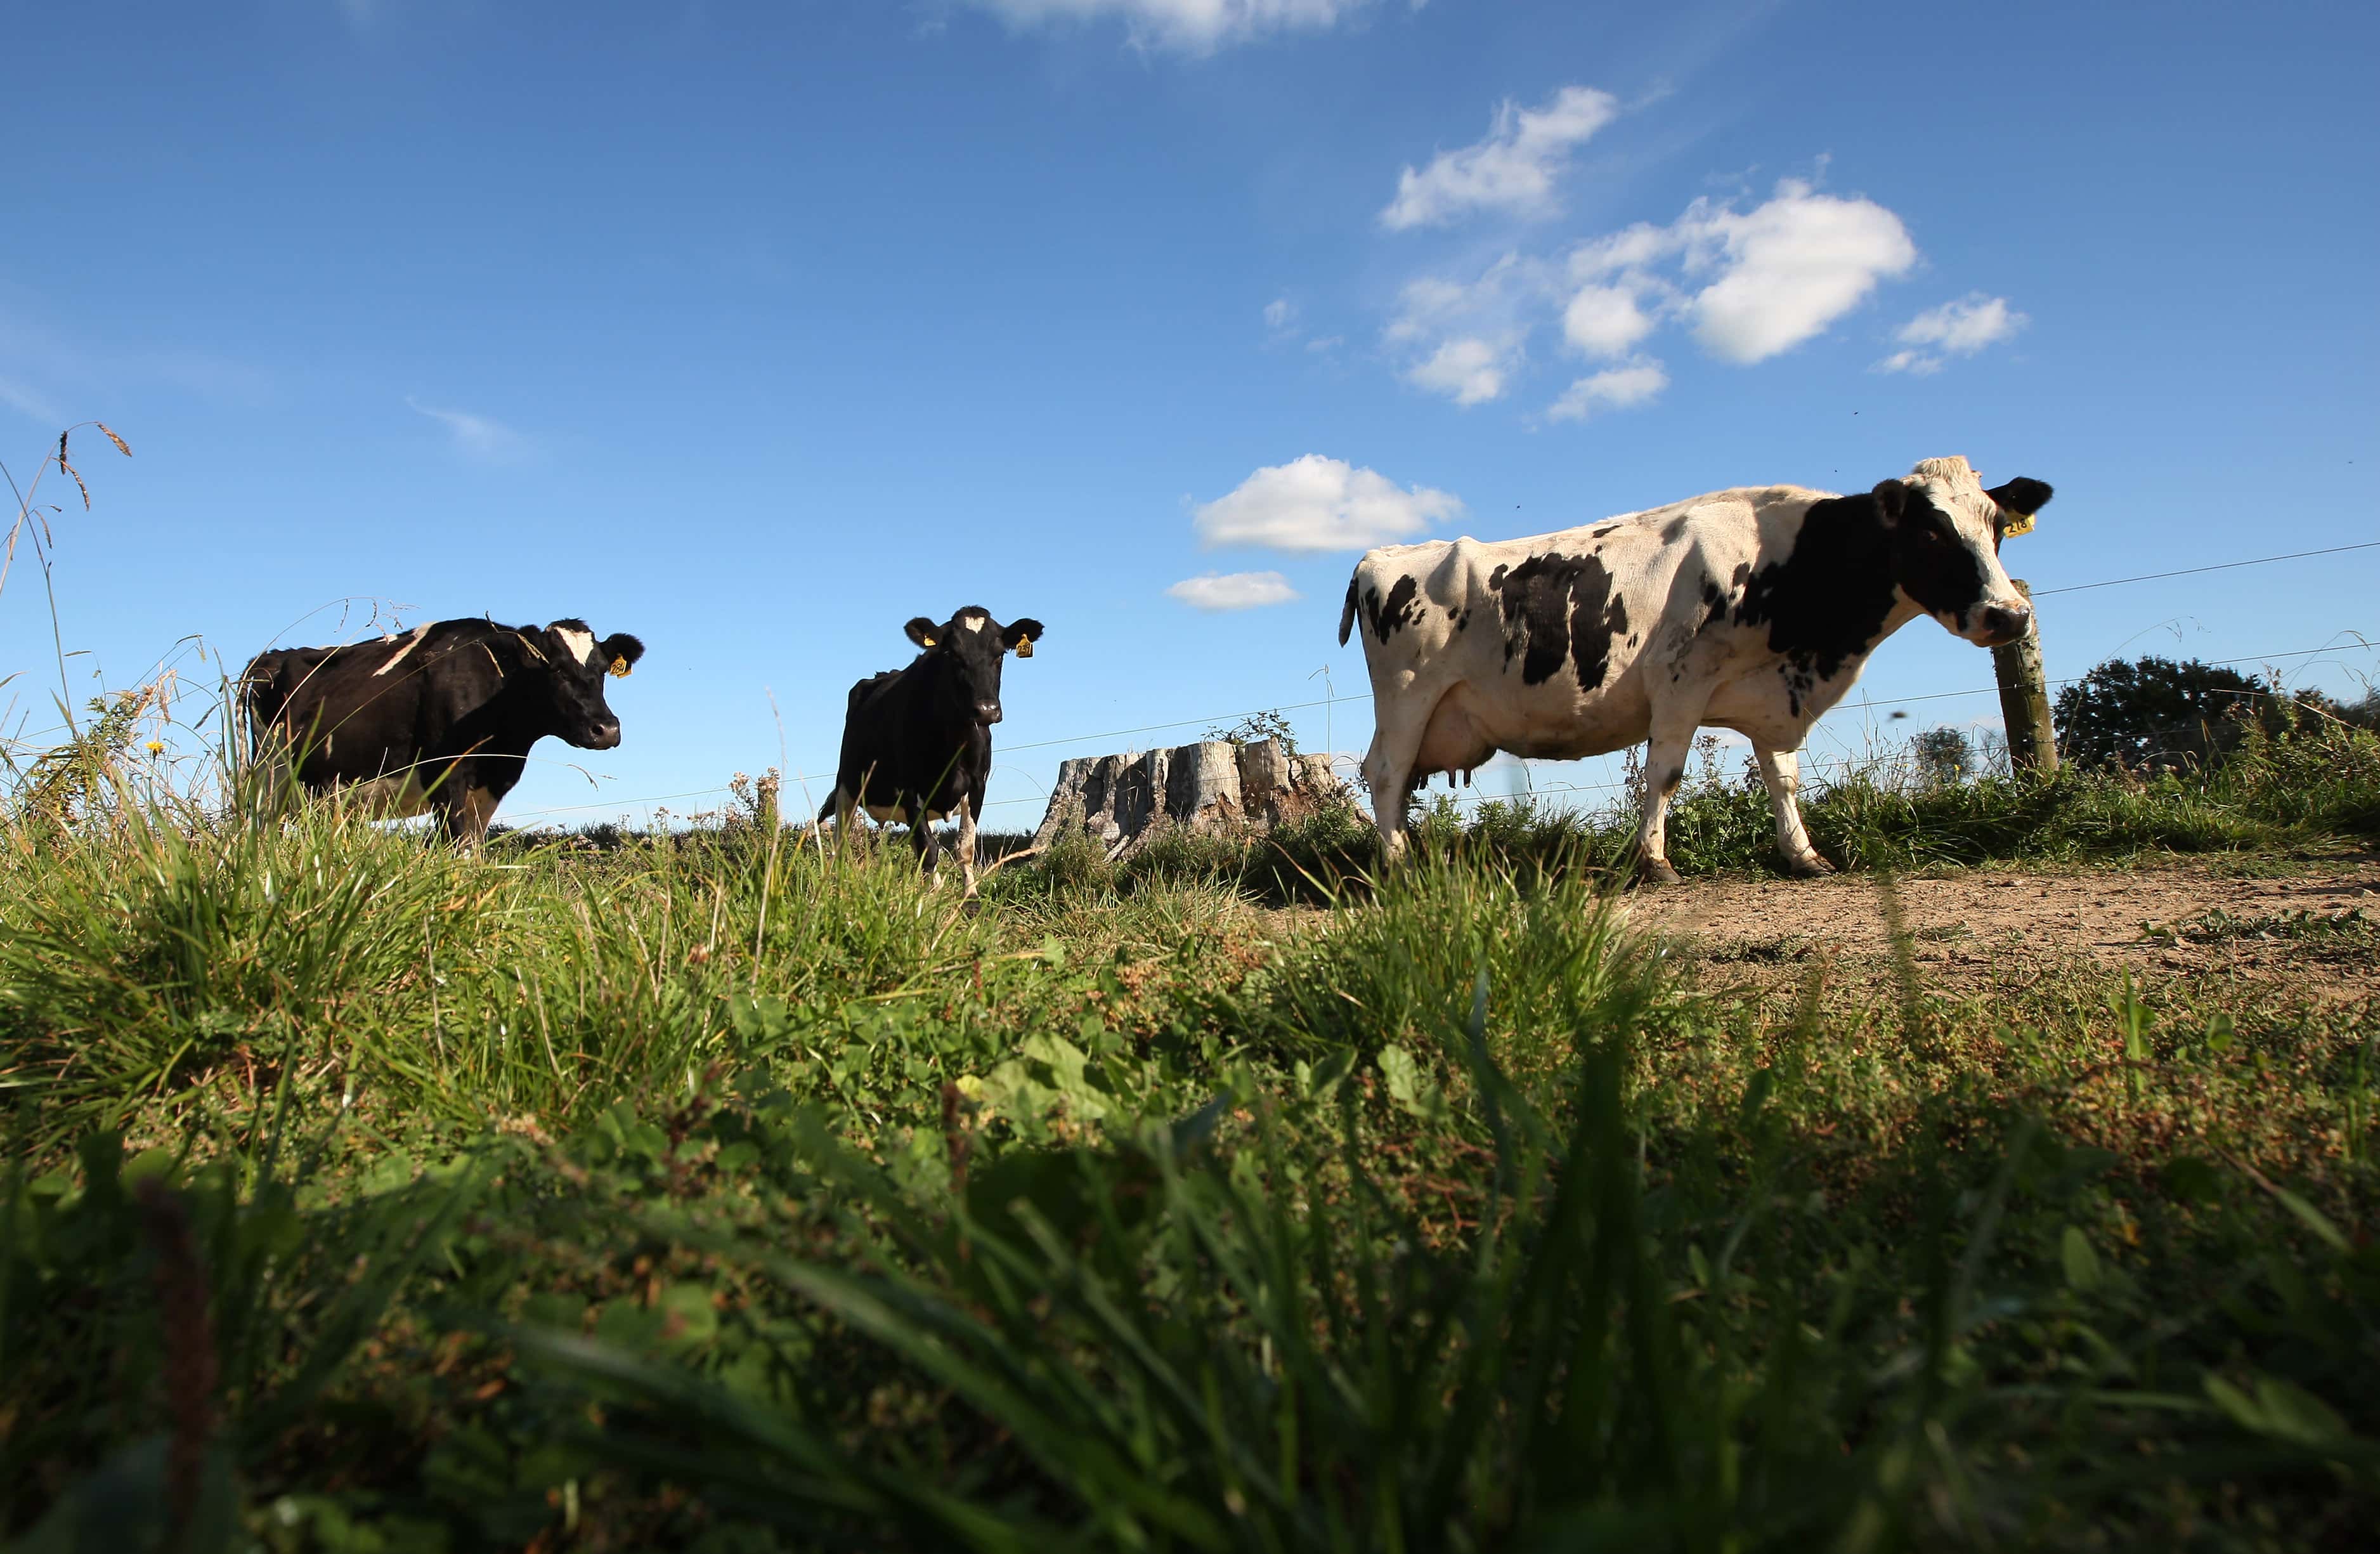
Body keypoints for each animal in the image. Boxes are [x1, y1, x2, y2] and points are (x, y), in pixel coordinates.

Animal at [240, 617, 646, 845]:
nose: (607, 730)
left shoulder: (491, 786)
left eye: (603, 670)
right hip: (268, 780)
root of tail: (268, 658)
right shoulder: (446, 777)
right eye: (556, 669)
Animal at [816, 606, 1043, 897]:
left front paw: (969, 898)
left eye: (1000, 654)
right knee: (840, 842)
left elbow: (964, 847)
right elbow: (929, 849)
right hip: (847, 786)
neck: (954, 742)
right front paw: (926, 900)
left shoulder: (977, 785)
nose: (987, 710)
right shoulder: (909, 788)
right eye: (952, 654)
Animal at [1337, 456, 2053, 882]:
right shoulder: (1681, 677)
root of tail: (1379, 556)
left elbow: (1784, 779)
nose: (2009, 615)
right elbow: (1666, 773)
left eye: (1995, 526)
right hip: (1408, 695)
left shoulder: (1773, 694)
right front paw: (1654, 862)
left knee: (1397, 782)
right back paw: (1397, 865)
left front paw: (1803, 854)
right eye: (1930, 532)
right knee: (1385, 772)